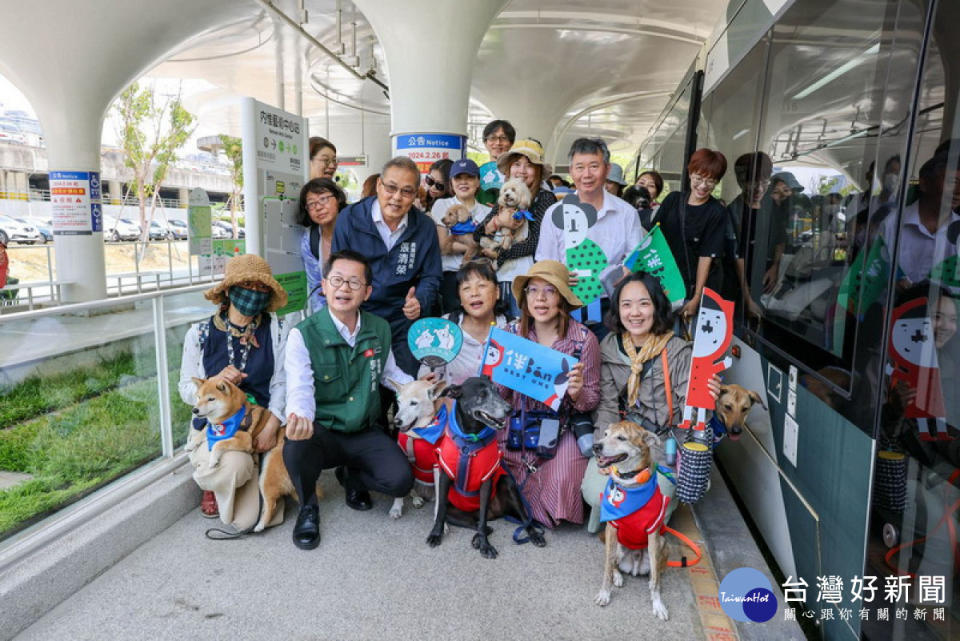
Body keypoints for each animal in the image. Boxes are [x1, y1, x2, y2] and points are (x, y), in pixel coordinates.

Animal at [185, 378, 296, 532]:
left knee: (271, 503)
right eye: (198, 397)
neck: (232, 416)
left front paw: (213, 459)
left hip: (266, 475)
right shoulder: (214, 430)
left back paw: (260, 525)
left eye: (211, 399)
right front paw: (191, 444)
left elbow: (219, 444)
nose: (194, 410)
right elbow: (204, 432)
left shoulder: (245, 440)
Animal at [430, 378, 548, 556]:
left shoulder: (486, 480)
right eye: (482, 395)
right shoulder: (445, 475)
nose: (509, 409)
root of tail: (496, 513)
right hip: (455, 512)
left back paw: (533, 534)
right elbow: (441, 510)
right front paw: (436, 534)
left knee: (519, 519)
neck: (470, 441)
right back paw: (477, 538)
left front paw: (485, 545)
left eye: (497, 391)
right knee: (480, 524)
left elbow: (483, 518)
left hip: (508, 483)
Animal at [592, 418, 668, 616]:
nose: (596, 446)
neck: (630, 483)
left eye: (621, 438)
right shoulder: (612, 528)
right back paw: (618, 577)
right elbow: (606, 569)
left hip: (663, 543)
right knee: (613, 564)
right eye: (605, 434)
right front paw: (605, 593)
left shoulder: (653, 533)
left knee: (656, 571)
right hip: (618, 546)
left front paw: (658, 604)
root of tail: (634, 565)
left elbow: (656, 579)